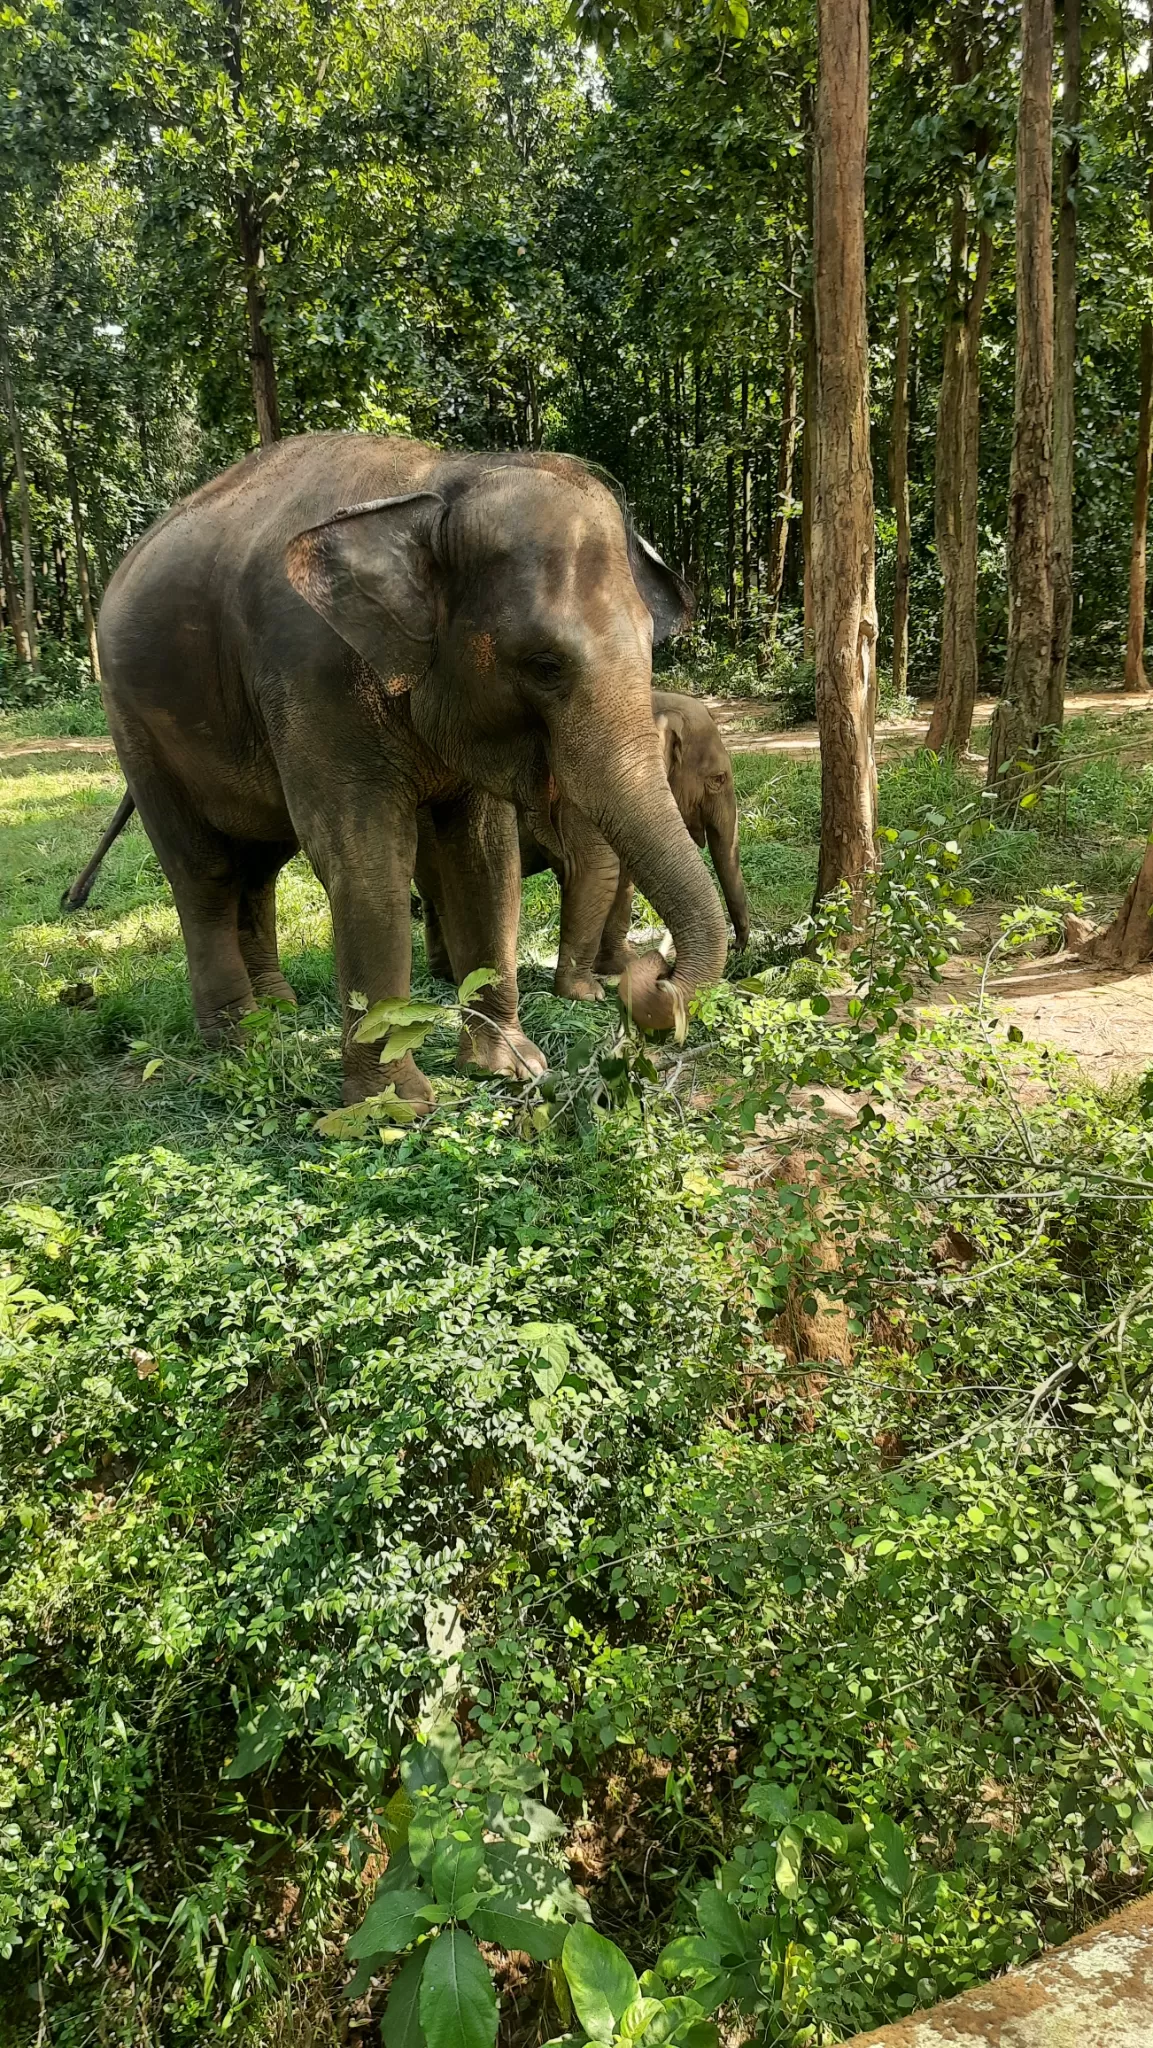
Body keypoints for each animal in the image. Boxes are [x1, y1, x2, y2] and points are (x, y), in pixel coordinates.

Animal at [419, 692, 753, 1003]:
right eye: (717, 779)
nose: (737, 947)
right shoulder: (583, 794)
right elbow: (597, 870)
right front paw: (586, 995)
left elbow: (622, 874)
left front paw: (622, 967)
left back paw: (444, 975)